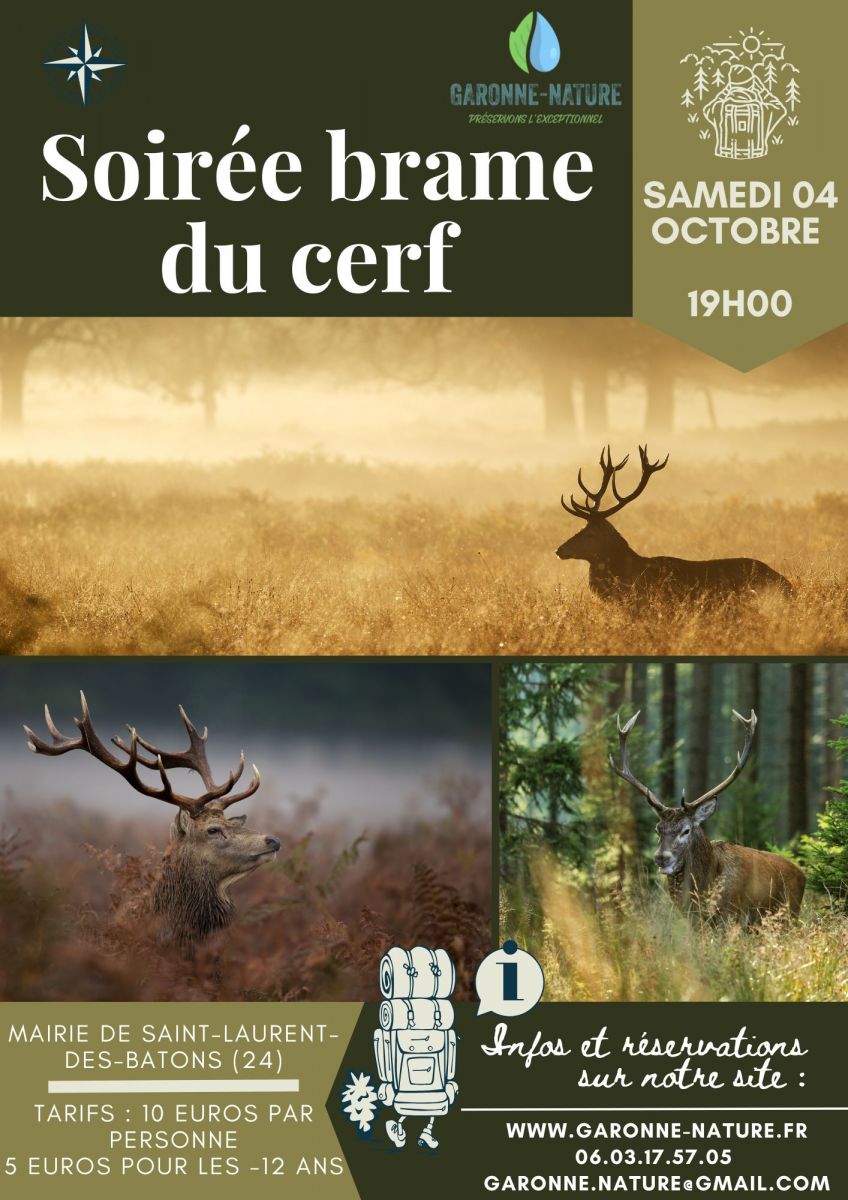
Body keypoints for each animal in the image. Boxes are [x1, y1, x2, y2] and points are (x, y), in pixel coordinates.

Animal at [610, 708, 805, 924]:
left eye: (686, 830)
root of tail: (803, 875)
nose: (661, 858)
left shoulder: (731, 915)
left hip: (788, 914)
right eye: (657, 829)